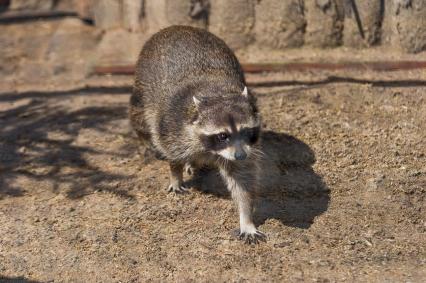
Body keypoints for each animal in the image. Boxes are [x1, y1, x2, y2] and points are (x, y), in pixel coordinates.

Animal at [130, 26, 264, 244]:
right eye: (223, 135)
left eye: (246, 131)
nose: (240, 155)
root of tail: (177, 27)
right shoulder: (172, 125)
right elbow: (172, 152)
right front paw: (175, 176)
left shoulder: (244, 149)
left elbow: (242, 181)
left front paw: (246, 219)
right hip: (142, 88)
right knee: (140, 120)